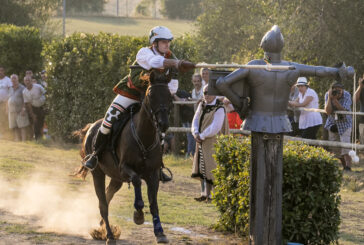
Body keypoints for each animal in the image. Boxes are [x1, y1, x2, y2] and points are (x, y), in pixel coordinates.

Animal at [74, 70, 173, 244]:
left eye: (169, 95)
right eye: (151, 95)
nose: (163, 124)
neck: (144, 137)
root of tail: (91, 126)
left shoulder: (153, 174)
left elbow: (154, 204)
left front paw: (160, 233)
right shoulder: (125, 168)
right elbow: (137, 181)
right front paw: (138, 214)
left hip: (116, 178)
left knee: (107, 197)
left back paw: (102, 228)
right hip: (98, 173)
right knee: (103, 204)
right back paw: (109, 235)